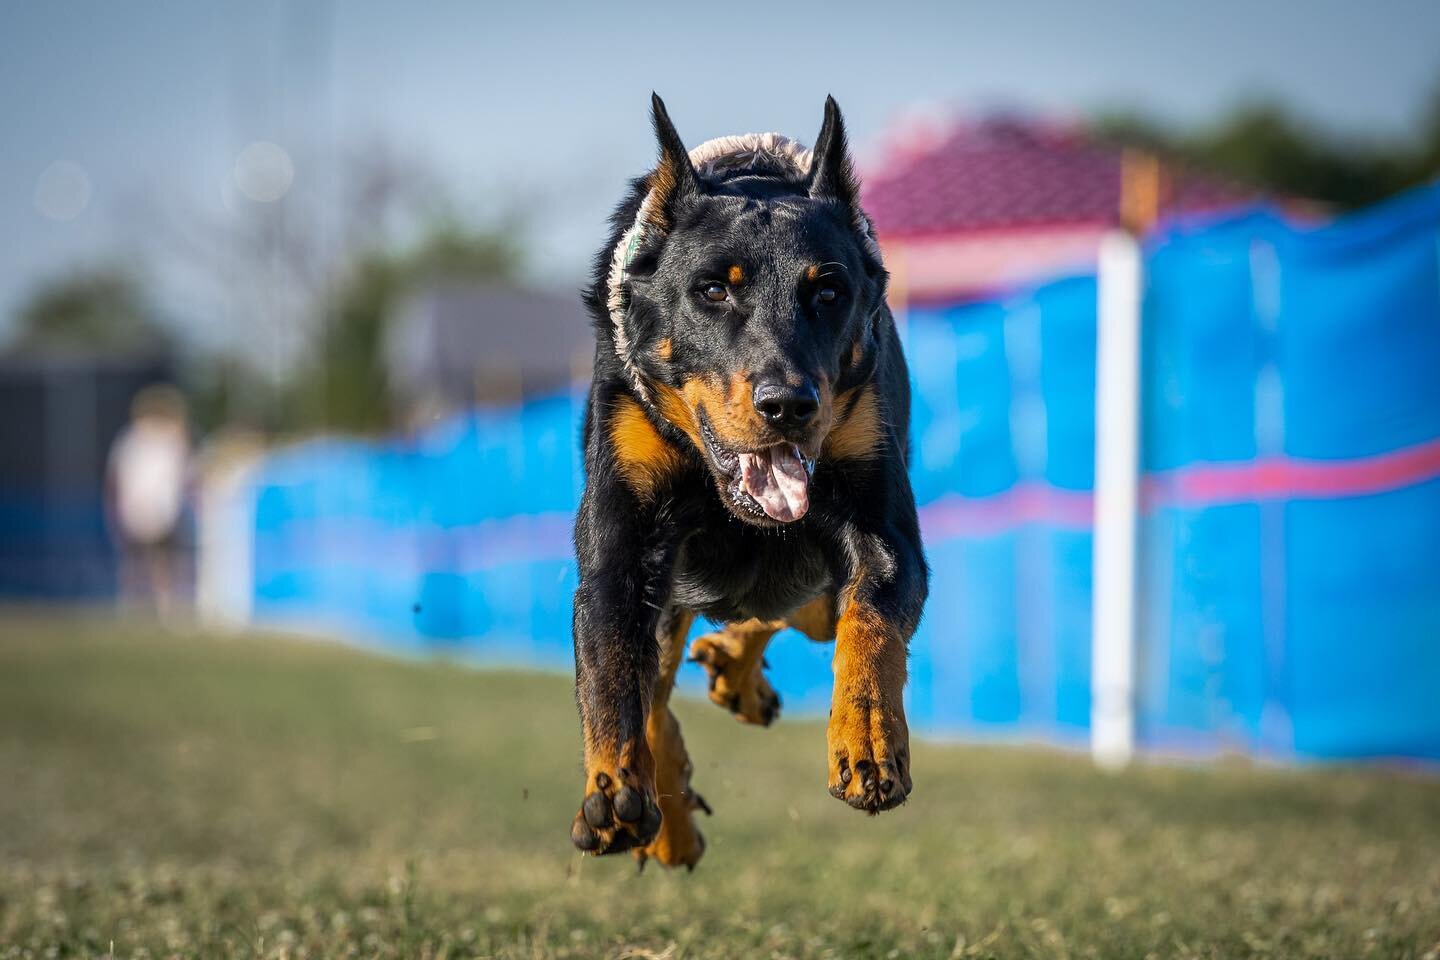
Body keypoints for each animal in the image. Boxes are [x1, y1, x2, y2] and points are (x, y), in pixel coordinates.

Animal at [567, 93, 927, 869]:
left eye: (829, 291)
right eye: (711, 290)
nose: (788, 404)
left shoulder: (881, 525)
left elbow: (871, 621)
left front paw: (868, 743)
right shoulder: (622, 542)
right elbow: (614, 670)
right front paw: (615, 794)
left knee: (798, 606)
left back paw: (735, 670)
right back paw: (669, 818)